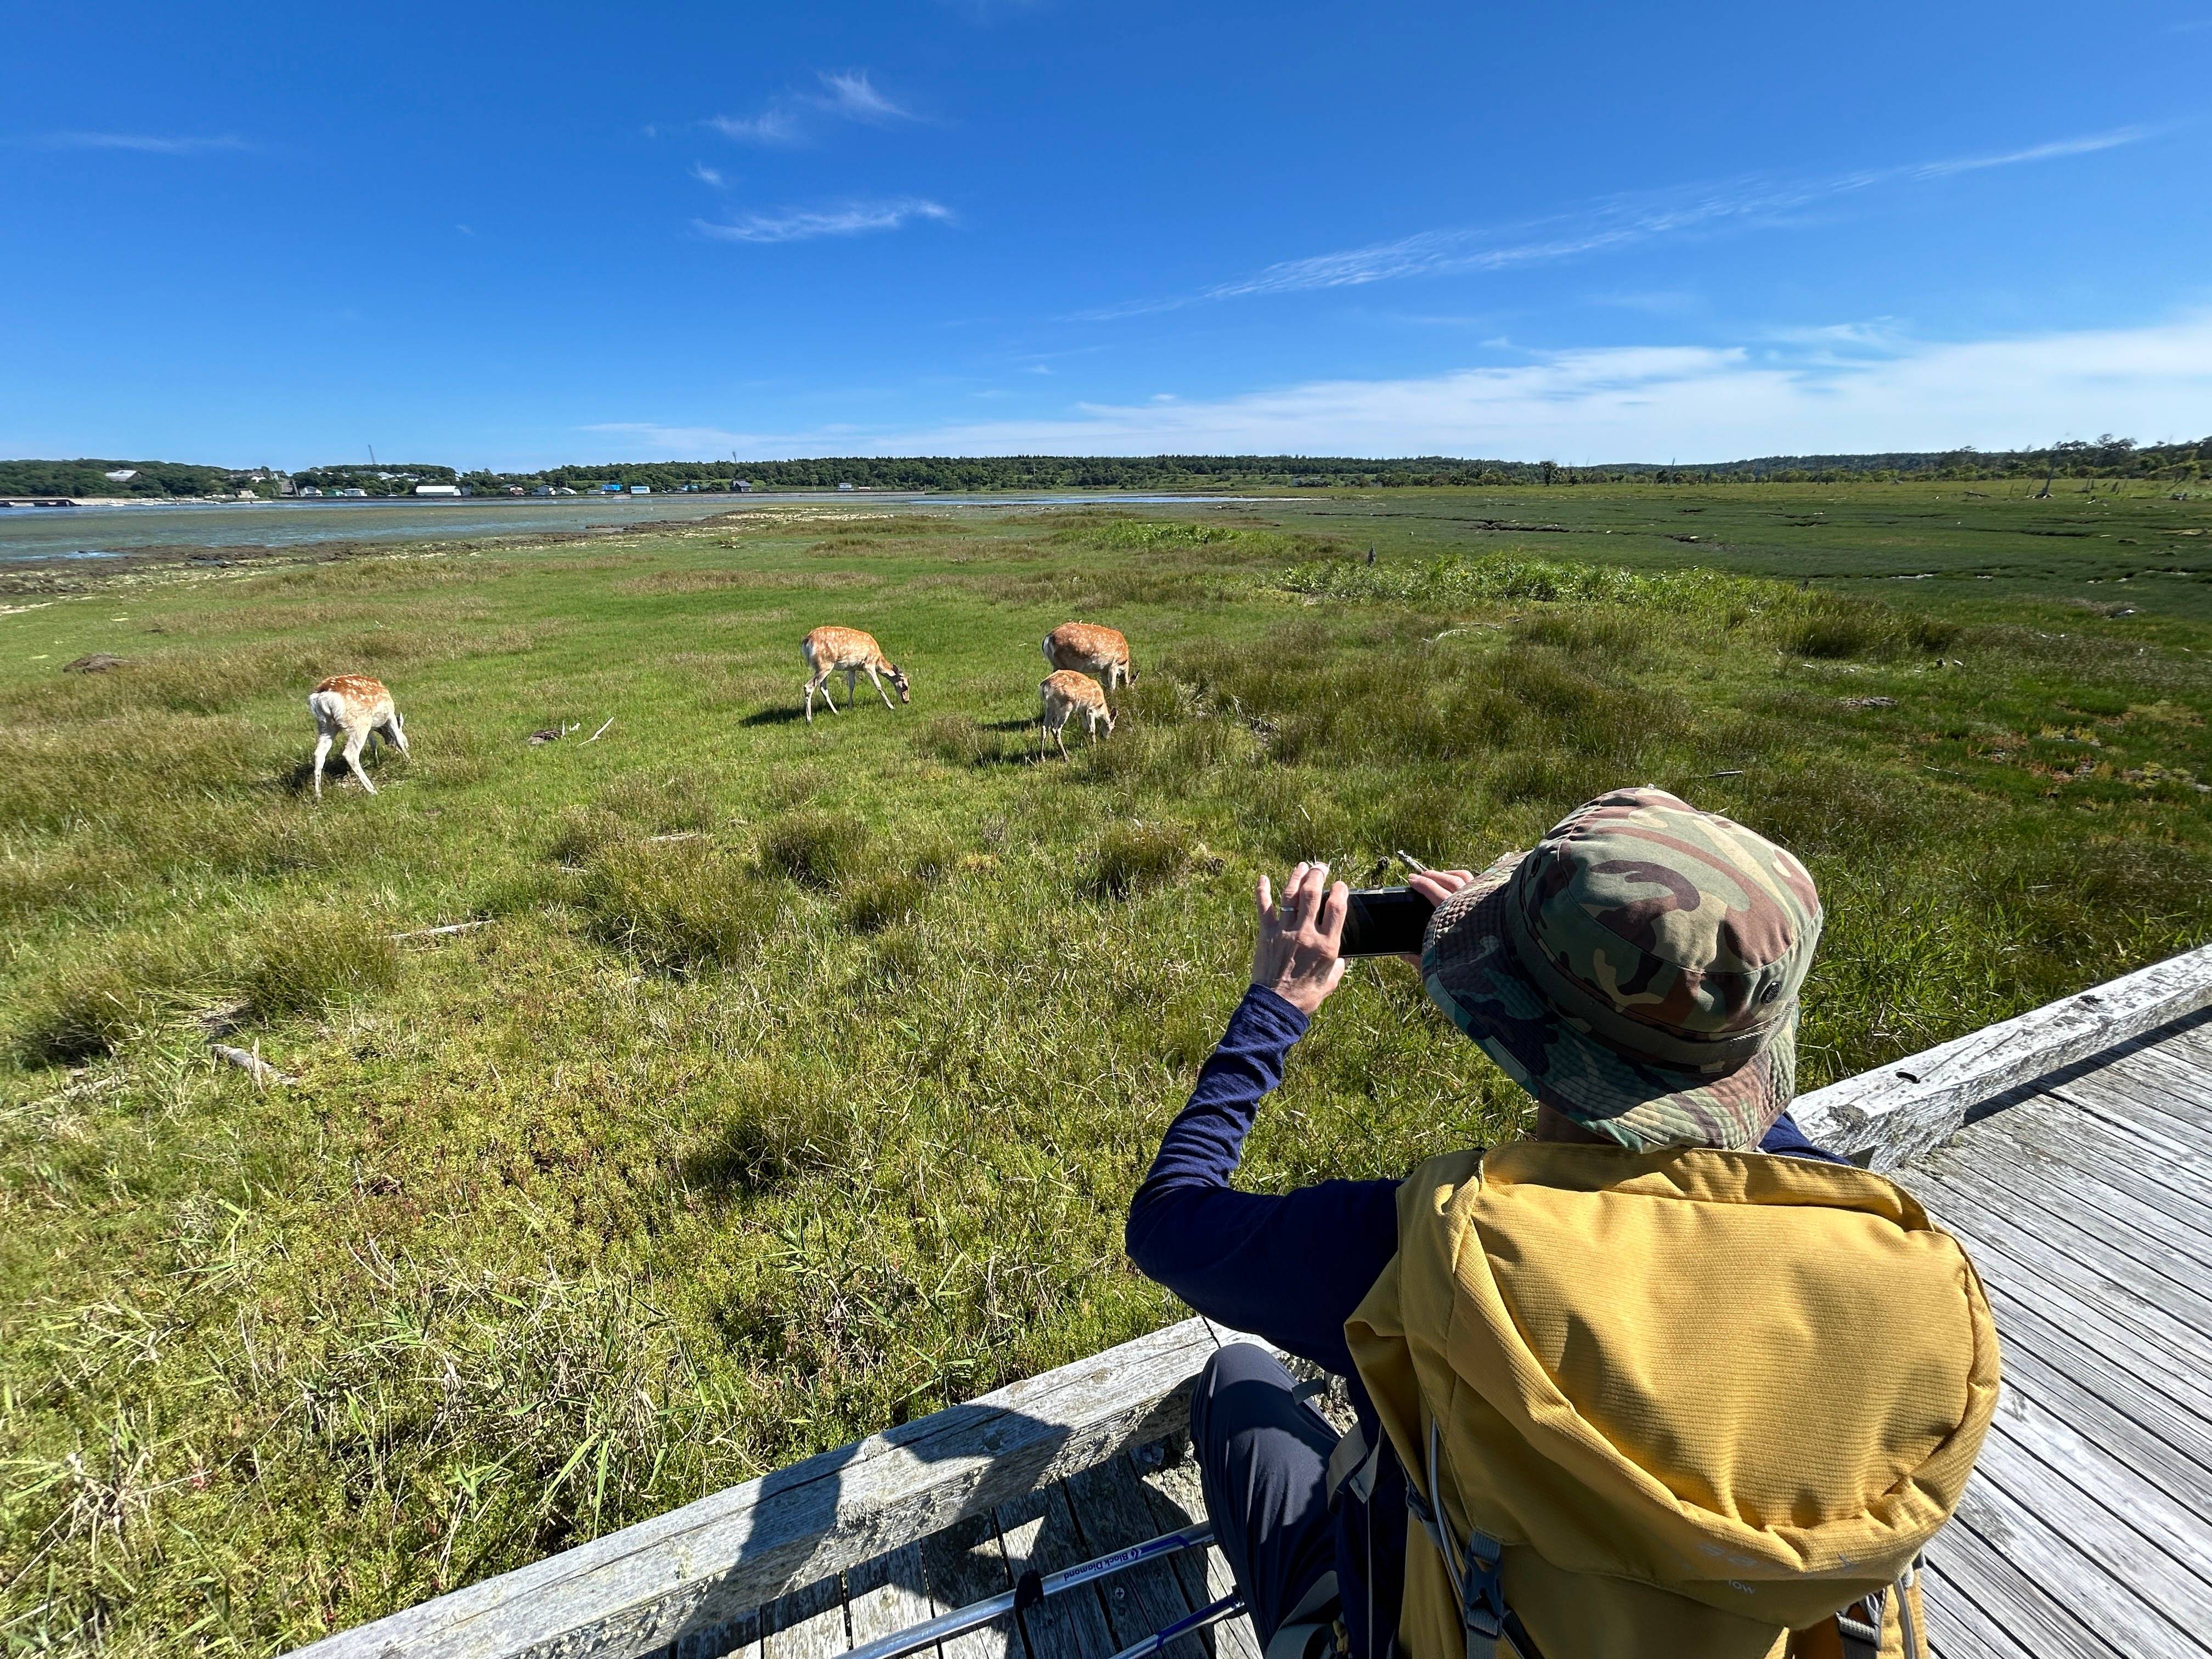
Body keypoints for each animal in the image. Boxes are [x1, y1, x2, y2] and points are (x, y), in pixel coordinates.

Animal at [307, 674, 409, 798]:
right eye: (407, 741)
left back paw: (319, 796)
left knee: (319, 754)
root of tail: (322, 697)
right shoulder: (389, 715)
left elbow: (373, 743)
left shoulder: (371, 726)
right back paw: (372, 790)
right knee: (350, 754)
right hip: (359, 722)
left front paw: (377, 762)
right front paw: (410, 760)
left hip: (325, 725)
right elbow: (398, 738)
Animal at [802, 626, 910, 724]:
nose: (907, 701)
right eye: (905, 686)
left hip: (822, 667)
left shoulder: (852, 668)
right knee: (809, 686)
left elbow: (852, 686)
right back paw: (809, 720)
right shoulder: (869, 665)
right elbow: (878, 685)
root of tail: (806, 642)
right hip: (825, 665)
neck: (878, 661)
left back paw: (836, 712)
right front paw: (891, 707)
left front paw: (850, 707)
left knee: (823, 688)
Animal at [1039, 669, 1113, 759]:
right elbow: (1092, 729)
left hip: (1050, 708)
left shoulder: (1083, 711)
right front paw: (1095, 749)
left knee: (1044, 727)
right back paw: (1066, 757)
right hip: (1066, 708)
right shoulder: (1091, 709)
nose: (1107, 739)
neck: (1101, 708)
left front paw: (1085, 744)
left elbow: (1086, 728)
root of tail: (1044, 687)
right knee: (1055, 729)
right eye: (1112, 727)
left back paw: (1042, 758)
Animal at [1042, 622, 1135, 694]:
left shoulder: (1103, 670)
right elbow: (1113, 687)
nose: (1131, 694)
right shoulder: (1114, 665)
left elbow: (1106, 686)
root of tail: (1048, 638)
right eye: (1133, 687)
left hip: (1055, 664)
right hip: (1064, 663)